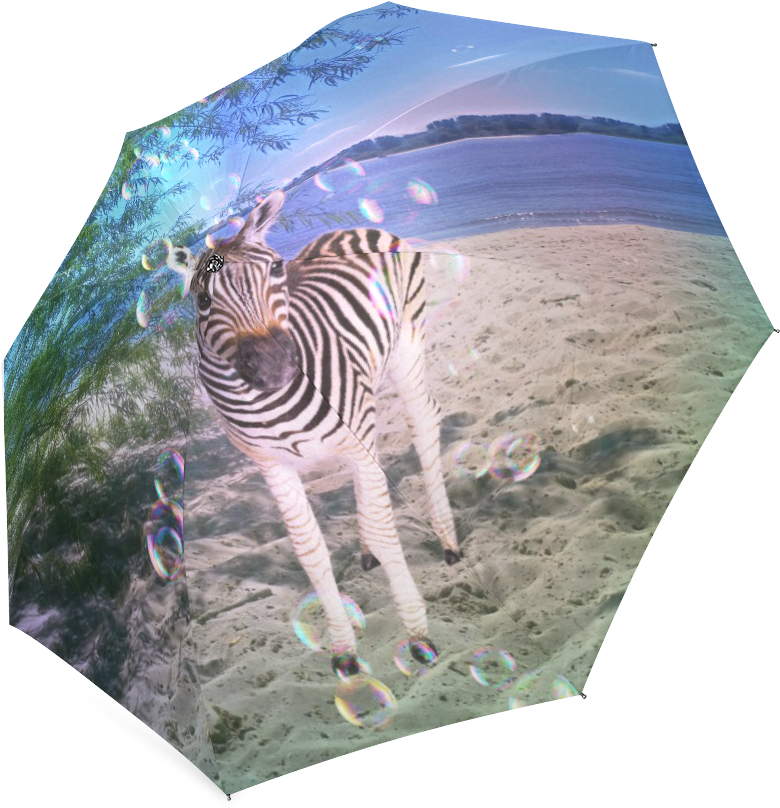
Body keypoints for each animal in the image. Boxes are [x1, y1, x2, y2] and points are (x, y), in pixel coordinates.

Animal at [168, 190, 460, 677]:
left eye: (276, 269)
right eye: (203, 300)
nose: (276, 368)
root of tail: (352, 228)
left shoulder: (356, 434)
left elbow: (388, 532)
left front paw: (418, 634)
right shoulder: (273, 468)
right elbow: (310, 552)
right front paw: (344, 648)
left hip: (407, 344)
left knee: (423, 424)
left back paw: (447, 539)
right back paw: (366, 549)